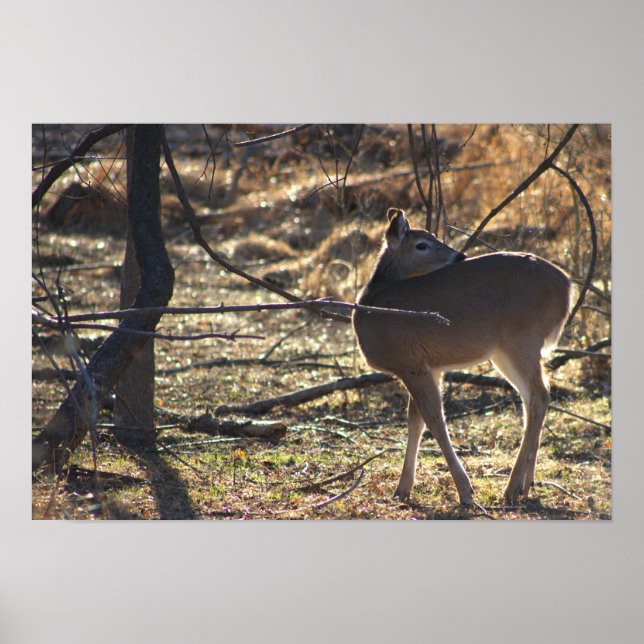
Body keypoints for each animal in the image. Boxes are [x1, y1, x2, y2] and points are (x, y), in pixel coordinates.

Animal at [352, 208, 572, 506]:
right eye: (422, 244)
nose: (459, 256)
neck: (373, 305)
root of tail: (567, 287)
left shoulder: (411, 364)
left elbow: (434, 419)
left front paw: (465, 491)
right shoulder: (428, 365)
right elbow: (415, 421)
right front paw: (402, 490)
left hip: (521, 337)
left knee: (539, 395)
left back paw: (512, 488)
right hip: (507, 349)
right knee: (532, 398)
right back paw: (527, 484)